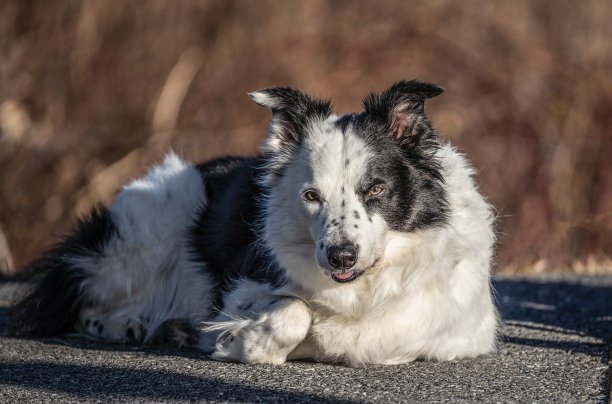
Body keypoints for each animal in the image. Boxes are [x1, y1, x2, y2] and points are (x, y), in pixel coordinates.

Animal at [7, 80, 500, 364]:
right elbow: (295, 311)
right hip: (148, 230)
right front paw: (248, 343)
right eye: (311, 196)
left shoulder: (457, 331)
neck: (364, 286)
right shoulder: (240, 287)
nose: (339, 256)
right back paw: (123, 325)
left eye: (375, 190)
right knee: (81, 295)